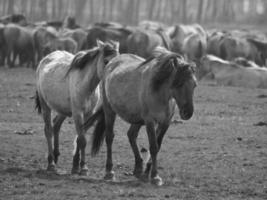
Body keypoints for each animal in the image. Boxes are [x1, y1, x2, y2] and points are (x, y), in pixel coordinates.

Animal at [35, 40, 119, 175]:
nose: (113, 77)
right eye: (106, 61)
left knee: (56, 125)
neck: (86, 85)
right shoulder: (78, 114)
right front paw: (83, 168)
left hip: (63, 110)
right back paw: (51, 163)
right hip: (45, 106)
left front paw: (75, 166)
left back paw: (56, 156)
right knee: (48, 130)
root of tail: (45, 59)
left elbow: (80, 139)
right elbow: (82, 140)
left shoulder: (88, 115)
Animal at [85, 47, 198, 186]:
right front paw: (155, 176)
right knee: (110, 137)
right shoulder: (150, 121)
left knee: (131, 135)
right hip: (109, 111)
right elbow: (153, 147)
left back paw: (138, 168)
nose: (187, 113)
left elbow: (157, 145)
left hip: (137, 120)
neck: (160, 93)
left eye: (194, 85)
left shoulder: (165, 123)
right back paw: (109, 172)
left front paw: (147, 172)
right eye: (179, 84)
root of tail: (112, 63)